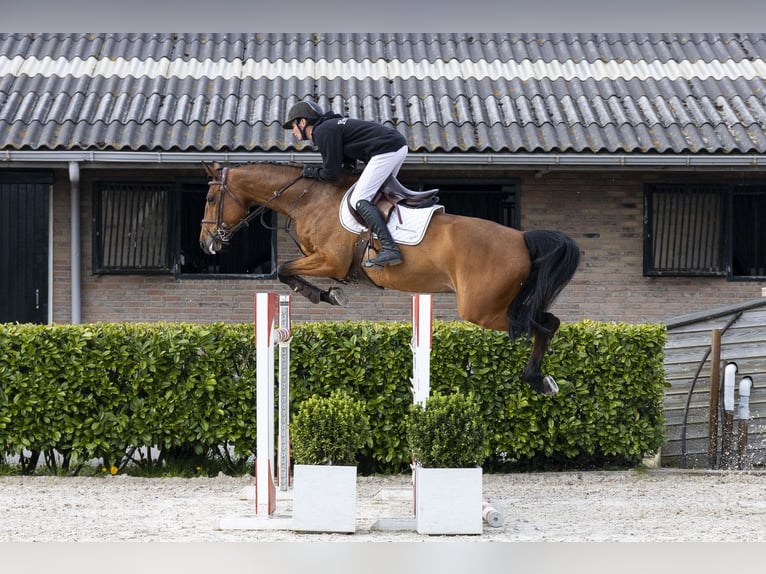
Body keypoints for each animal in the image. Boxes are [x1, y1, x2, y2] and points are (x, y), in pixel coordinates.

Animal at [199, 161, 580, 396]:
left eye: (211, 197)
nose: (207, 243)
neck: (308, 199)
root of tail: (523, 238)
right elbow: (286, 271)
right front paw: (328, 295)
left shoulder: (329, 261)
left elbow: (284, 270)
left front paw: (328, 295)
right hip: (497, 303)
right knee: (548, 320)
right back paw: (542, 381)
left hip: (481, 309)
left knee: (539, 324)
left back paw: (537, 380)